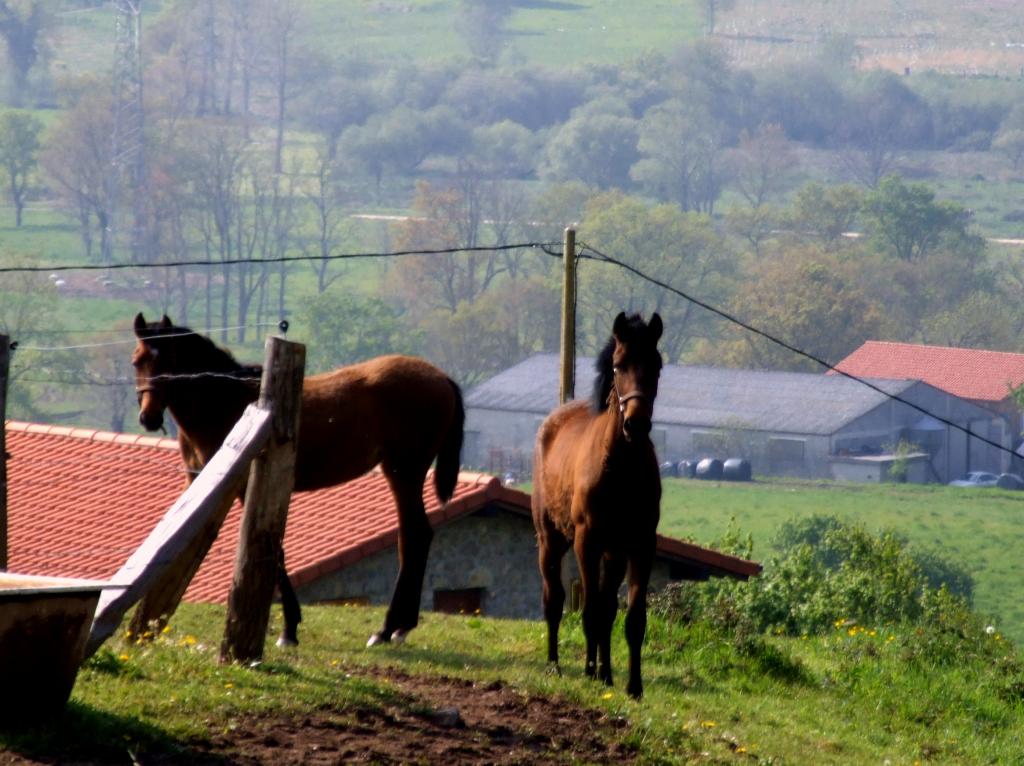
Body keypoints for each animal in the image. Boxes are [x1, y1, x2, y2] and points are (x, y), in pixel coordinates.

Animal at [132, 313, 464, 651]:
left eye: (171, 360)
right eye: (137, 361)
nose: (149, 417)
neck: (229, 404)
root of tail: (442, 378)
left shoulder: (245, 488)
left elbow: (272, 549)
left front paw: (289, 628)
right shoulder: (199, 485)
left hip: (404, 473)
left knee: (414, 537)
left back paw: (387, 628)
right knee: (416, 536)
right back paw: (400, 626)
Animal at [532, 311, 659, 700]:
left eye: (657, 365)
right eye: (619, 365)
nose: (636, 423)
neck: (620, 467)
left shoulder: (641, 544)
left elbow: (630, 618)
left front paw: (633, 685)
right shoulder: (586, 541)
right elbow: (588, 610)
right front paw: (589, 672)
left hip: (613, 554)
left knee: (607, 608)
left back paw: (606, 673)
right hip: (552, 541)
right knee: (554, 600)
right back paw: (556, 664)